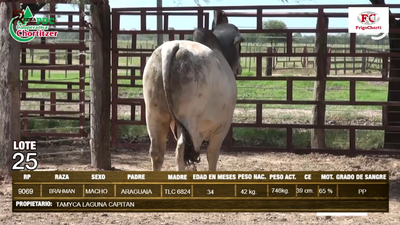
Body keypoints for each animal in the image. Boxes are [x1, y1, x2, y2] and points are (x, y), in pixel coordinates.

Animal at [144, 11, 244, 171]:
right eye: (239, 47)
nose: (238, 69)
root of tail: (172, 47)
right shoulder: (221, 128)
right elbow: (212, 155)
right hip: (189, 121)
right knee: (180, 150)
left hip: (154, 116)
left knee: (156, 152)